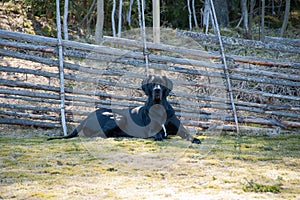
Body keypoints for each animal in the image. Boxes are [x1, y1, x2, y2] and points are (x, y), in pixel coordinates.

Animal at [47, 75, 200, 144]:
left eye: (161, 84)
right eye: (152, 84)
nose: (157, 90)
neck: (159, 107)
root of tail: (86, 117)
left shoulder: (179, 128)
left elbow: (187, 133)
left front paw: (195, 139)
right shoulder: (152, 130)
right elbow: (158, 134)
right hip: (119, 117)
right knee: (97, 134)